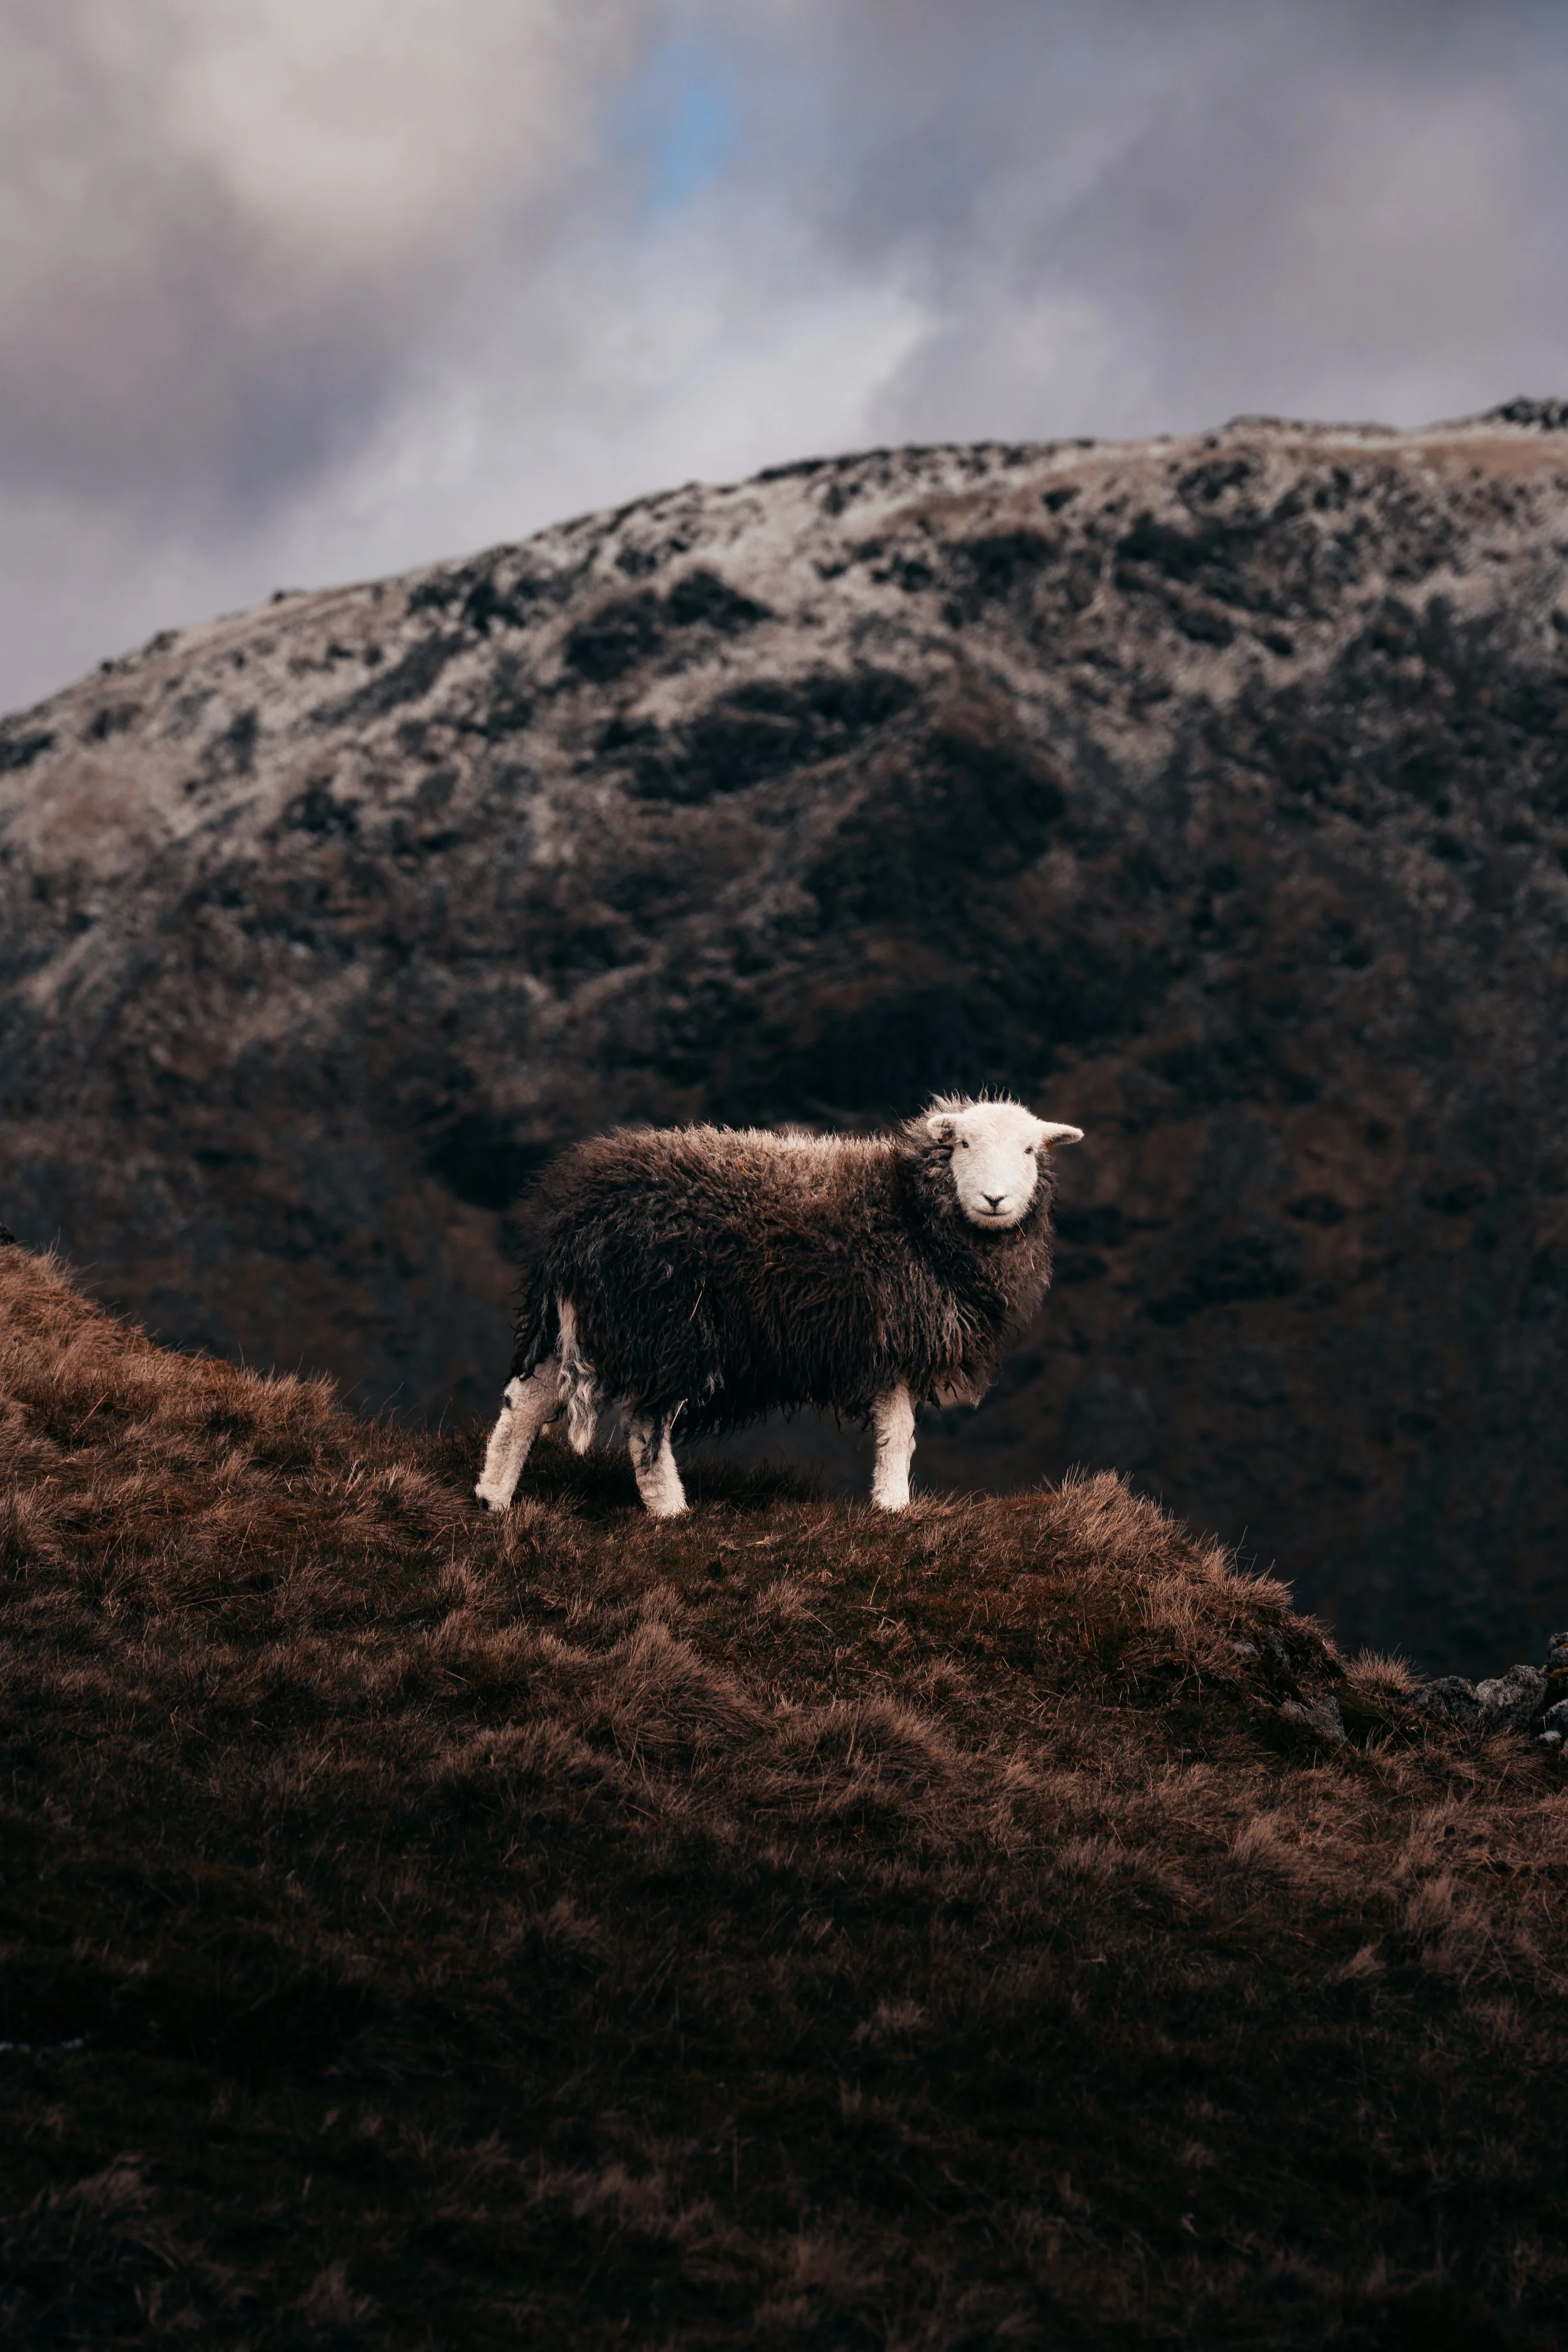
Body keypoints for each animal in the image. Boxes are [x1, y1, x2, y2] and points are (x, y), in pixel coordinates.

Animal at [475, 1096, 1084, 1518]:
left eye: (1030, 1151)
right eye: (963, 1146)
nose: (995, 1200)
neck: (910, 1210)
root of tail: (579, 1217)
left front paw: (890, 1502)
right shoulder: (887, 1335)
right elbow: (899, 1431)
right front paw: (893, 1506)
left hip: (588, 1322)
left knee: (526, 1399)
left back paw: (492, 1497)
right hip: (668, 1327)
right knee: (643, 1426)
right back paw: (671, 1511)